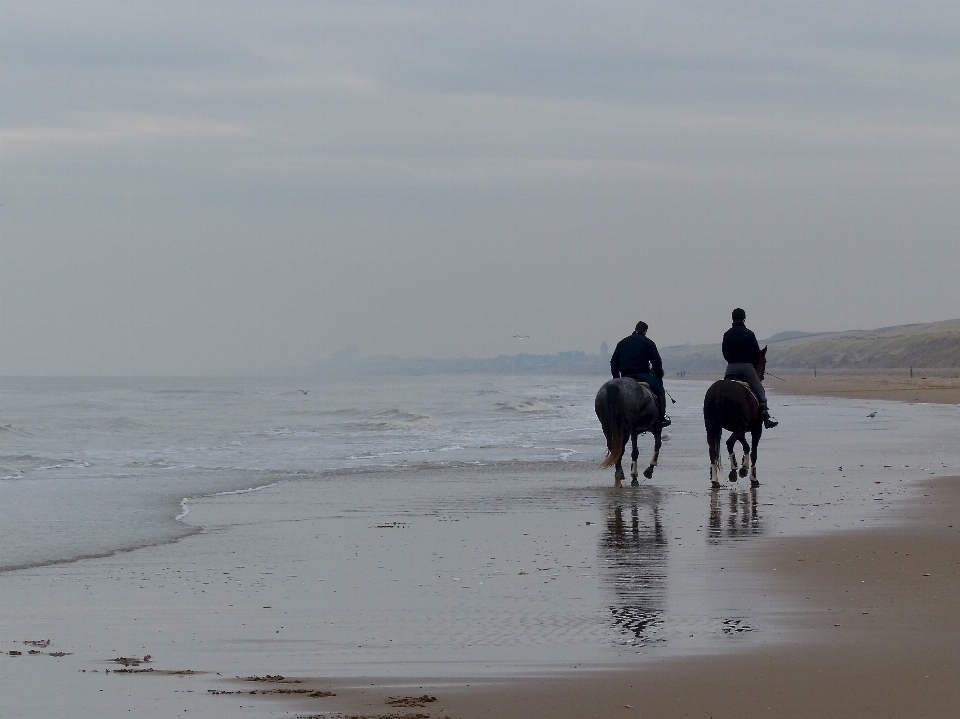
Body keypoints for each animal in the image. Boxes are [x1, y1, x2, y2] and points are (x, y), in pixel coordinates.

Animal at [700, 348, 768, 490]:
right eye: (764, 361)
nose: (762, 376)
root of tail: (721, 388)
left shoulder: (739, 429)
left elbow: (746, 446)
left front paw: (744, 467)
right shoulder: (755, 429)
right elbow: (753, 451)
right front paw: (751, 476)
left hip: (712, 427)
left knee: (712, 450)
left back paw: (715, 479)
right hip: (741, 427)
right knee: (729, 443)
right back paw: (733, 471)